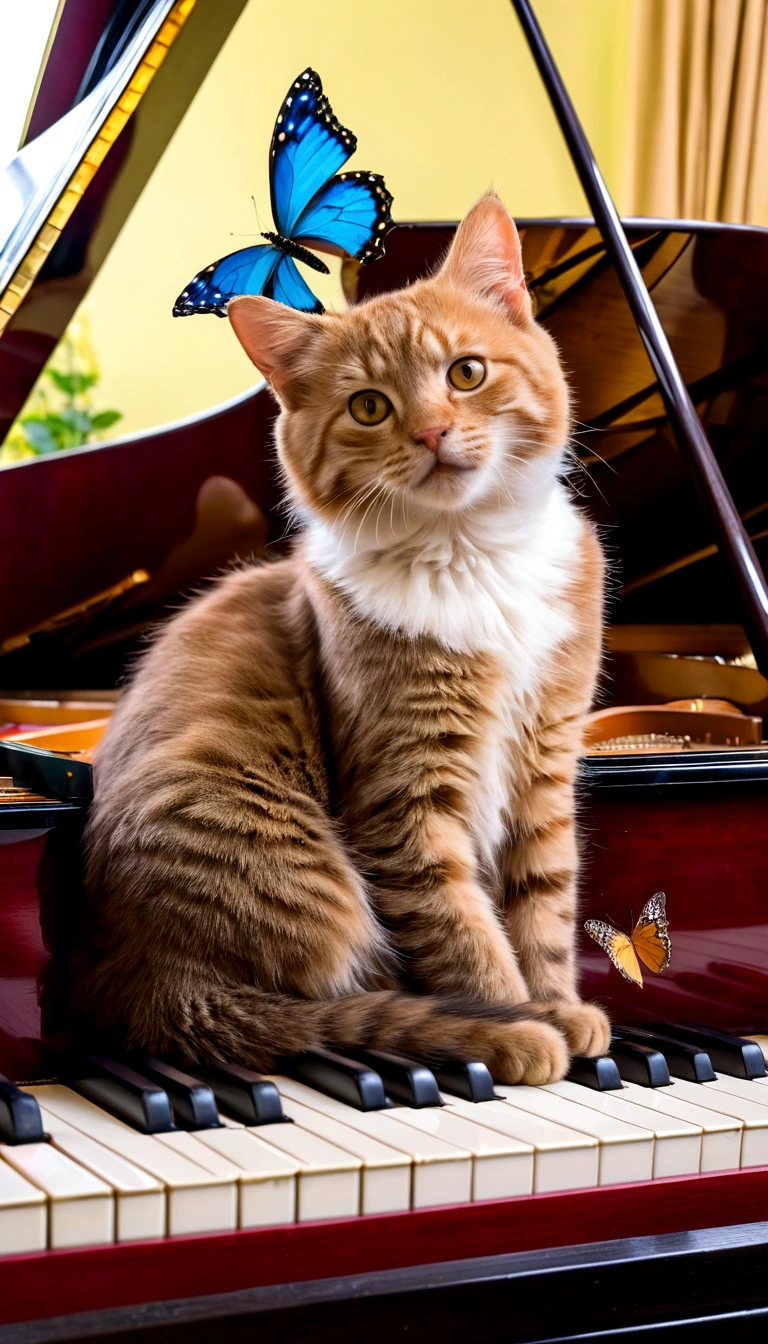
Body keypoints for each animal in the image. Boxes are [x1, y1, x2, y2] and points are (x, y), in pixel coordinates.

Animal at [63, 196, 610, 1080]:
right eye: (369, 407)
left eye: (466, 373)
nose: (431, 433)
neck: (470, 557)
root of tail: (148, 983)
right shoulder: (406, 797)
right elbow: (463, 929)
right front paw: (523, 1018)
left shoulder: (546, 767)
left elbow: (544, 904)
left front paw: (557, 1003)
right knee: (331, 997)